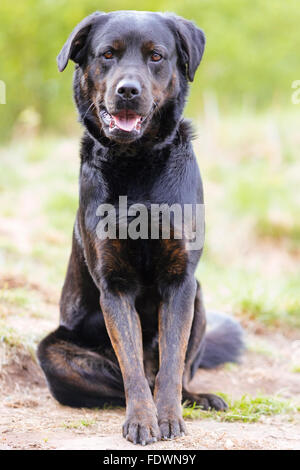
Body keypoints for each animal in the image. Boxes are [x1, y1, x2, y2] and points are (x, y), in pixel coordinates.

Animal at [37, 10, 244, 444]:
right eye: (107, 54)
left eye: (156, 56)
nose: (128, 91)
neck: (136, 162)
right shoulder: (115, 286)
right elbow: (130, 365)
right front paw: (142, 421)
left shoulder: (180, 282)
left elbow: (172, 361)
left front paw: (168, 419)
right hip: (53, 352)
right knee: (129, 377)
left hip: (199, 297)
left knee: (174, 373)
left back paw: (197, 398)